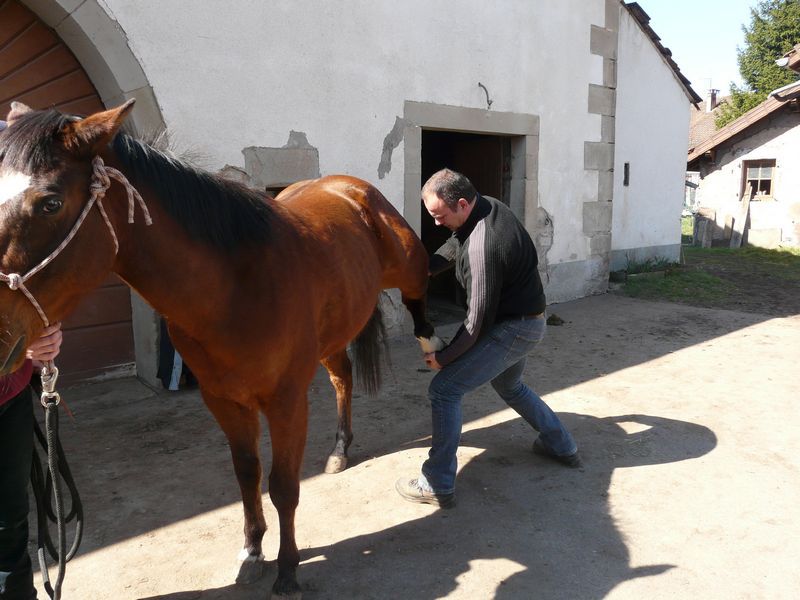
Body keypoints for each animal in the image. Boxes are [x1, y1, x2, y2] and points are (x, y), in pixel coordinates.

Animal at [0, 100, 443, 598]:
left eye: (50, 202)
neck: (236, 285)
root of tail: (349, 186)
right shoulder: (224, 400)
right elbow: (248, 474)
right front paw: (252, 552)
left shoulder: (286, 400)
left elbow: (283, 486)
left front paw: (287, 571)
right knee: (342, 378)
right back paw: (339, 450)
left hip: (407, 270)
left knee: (419, 308)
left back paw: (434, 350)